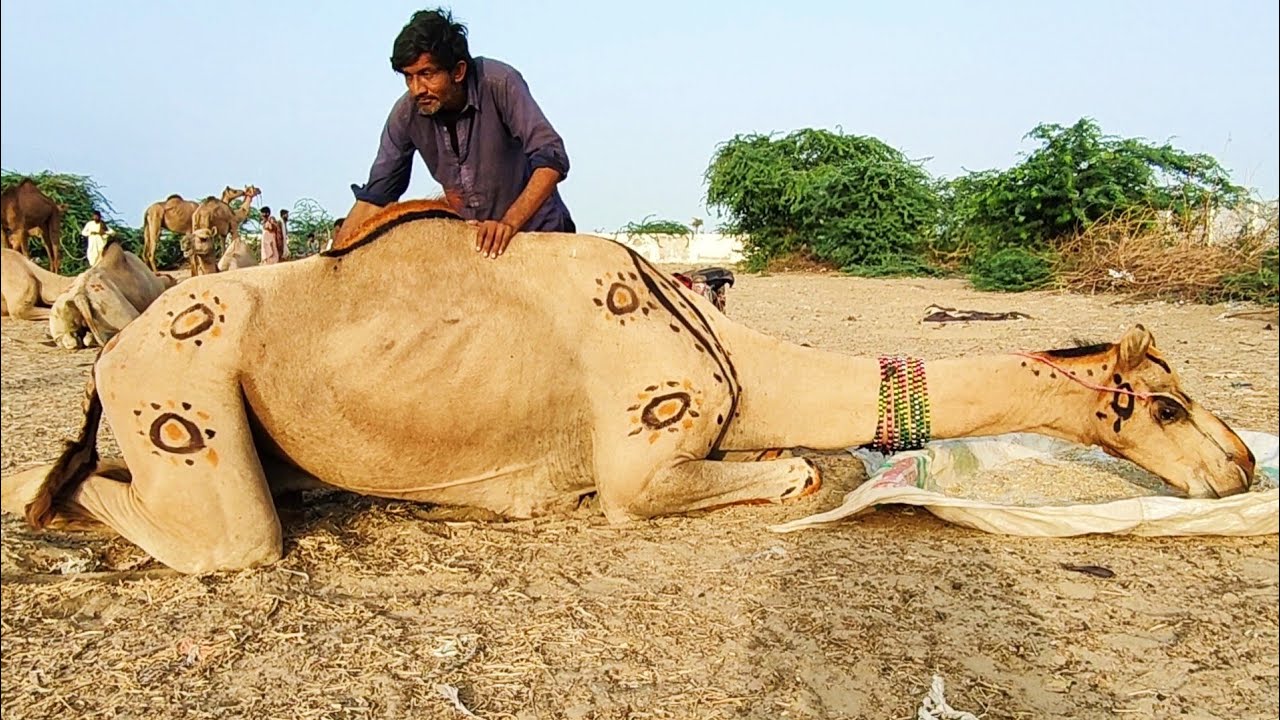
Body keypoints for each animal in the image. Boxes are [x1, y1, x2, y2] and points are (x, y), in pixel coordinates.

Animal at [0, 200, 1256, 575]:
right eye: (1163, 402)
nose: (1240, 462)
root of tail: (119, 347)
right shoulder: (639, 460)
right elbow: (792, 471)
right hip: (184, 389)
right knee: (220, 532)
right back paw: (48, 495)